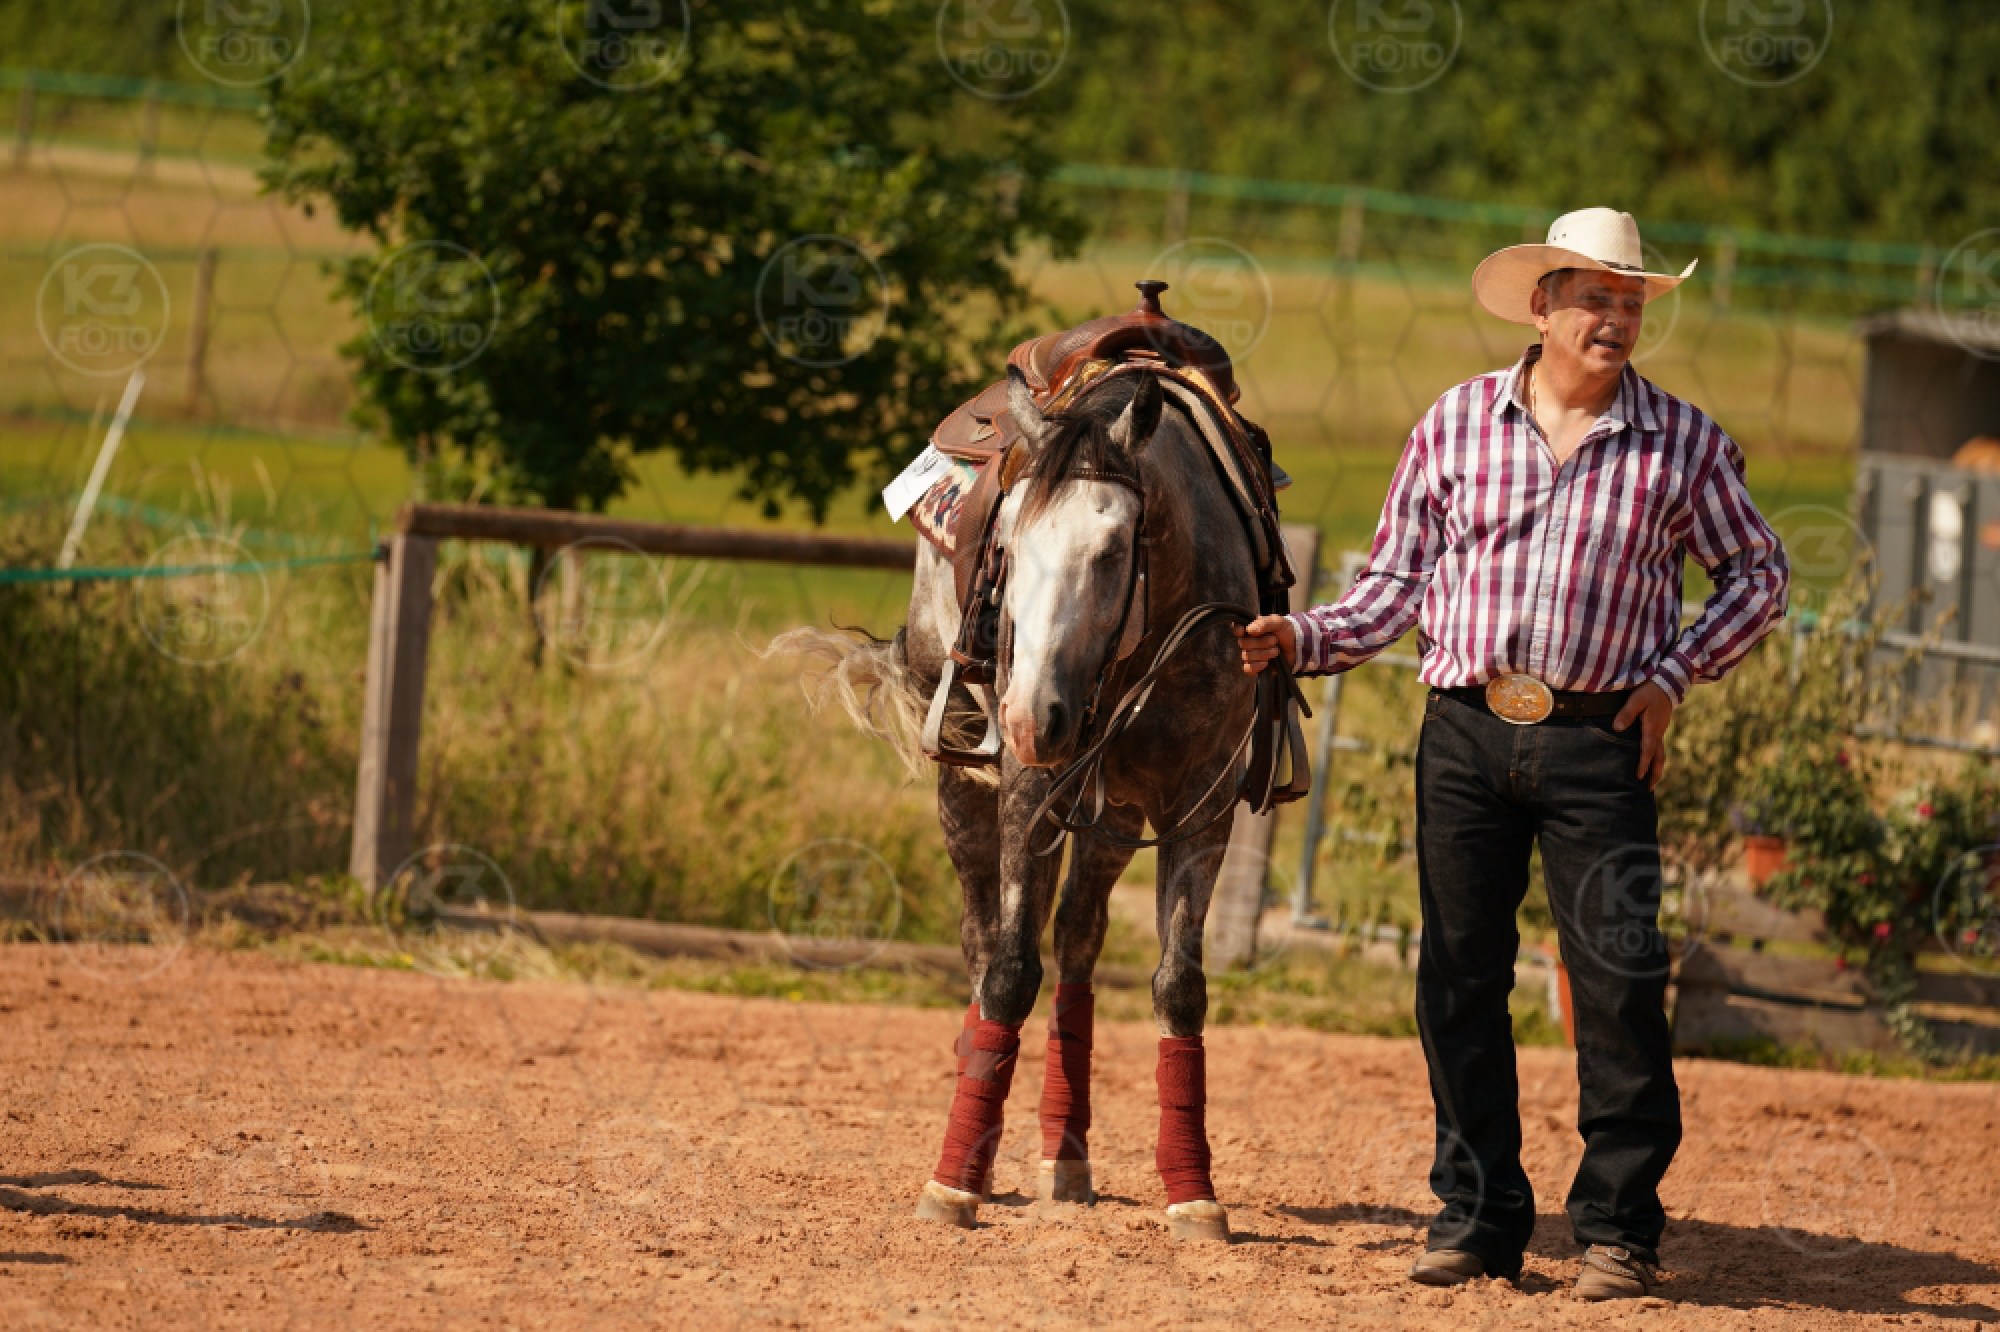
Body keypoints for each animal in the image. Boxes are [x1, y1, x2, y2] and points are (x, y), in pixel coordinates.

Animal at [778, 364, 1262, 1242]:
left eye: (1113, 550)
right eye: (1008, 545)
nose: (1036, 716)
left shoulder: (1201, 804)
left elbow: (1179, 984)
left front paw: (1194, 1192)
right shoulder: (1029, 790)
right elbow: (1007, 969)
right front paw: (952, 1185)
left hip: (1112, 816)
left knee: (1077, 941)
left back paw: (1065, 1158)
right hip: (967, 783)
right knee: (984, 941)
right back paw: (982, 1134)